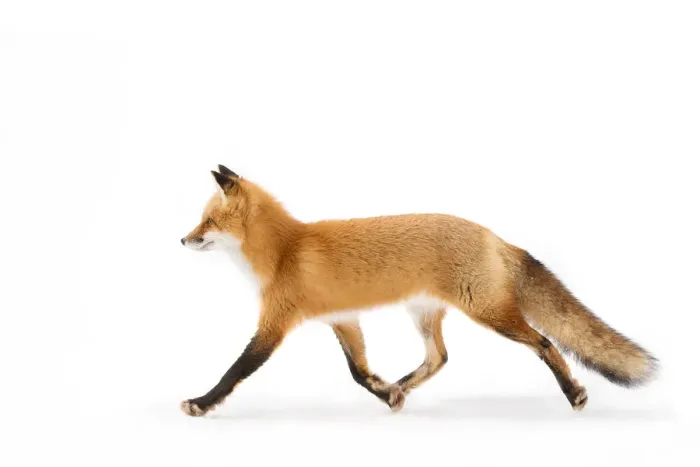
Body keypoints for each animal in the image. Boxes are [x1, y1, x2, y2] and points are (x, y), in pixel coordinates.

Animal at [179, 165, 657, 417]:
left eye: (207, 222)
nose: (182, 240)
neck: (283, 251)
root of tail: (493, 235)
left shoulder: (274, 324)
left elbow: (235, 370)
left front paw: (201, 403)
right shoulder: (342, 319)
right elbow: (358, 371)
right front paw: (385, 391)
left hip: (489, 313)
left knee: (543, 342)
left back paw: (573, 393)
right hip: (424, 314)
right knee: (438, 358)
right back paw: (401, 388)